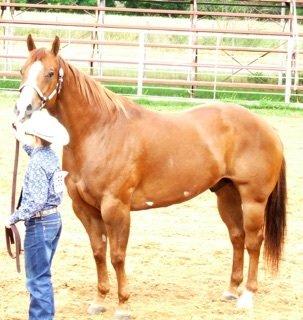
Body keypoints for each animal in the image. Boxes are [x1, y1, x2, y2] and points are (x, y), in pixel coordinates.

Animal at [14, 35, 288, 318]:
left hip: (253, 199)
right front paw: (99, 300)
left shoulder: (115, 208)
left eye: (49, 73)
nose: (23, 110)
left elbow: (117, 255)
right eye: (22, 70)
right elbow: (99, 252)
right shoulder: (85, 208)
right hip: (227, 194)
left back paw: (247, 296)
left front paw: (123, 304)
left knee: (254, 241)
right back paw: (232, 290)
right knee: (237, 237)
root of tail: (267, 127)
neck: (99, 132)